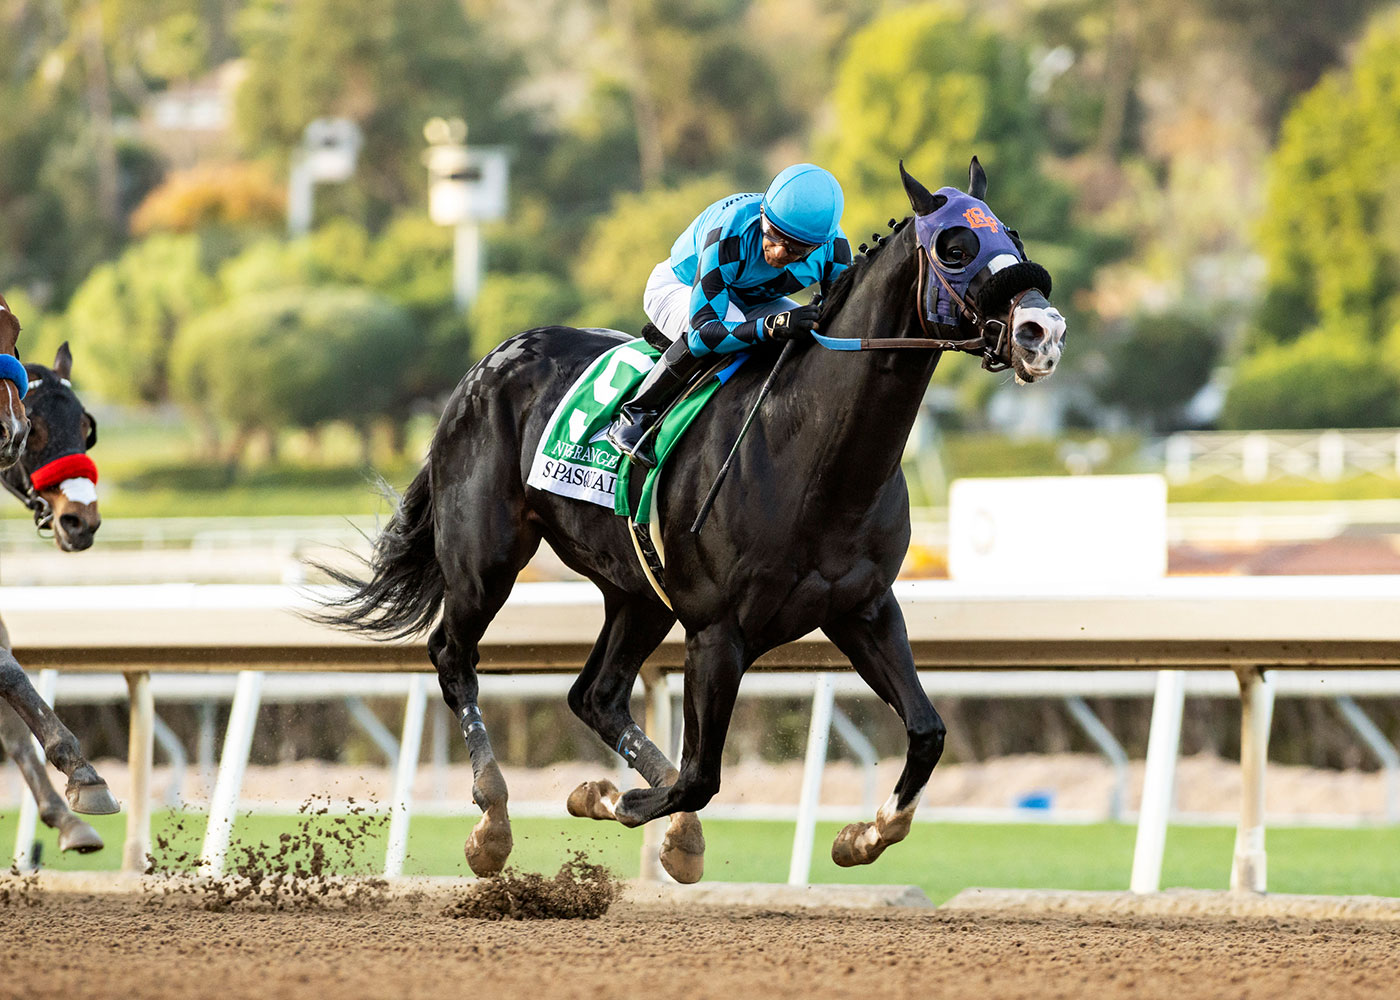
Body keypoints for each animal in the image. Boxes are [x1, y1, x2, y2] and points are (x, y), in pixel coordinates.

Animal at [320, 161, 1058, 879]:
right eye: (954, 248)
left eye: (1013, 237)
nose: (1043, 332)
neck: (812, 452)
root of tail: (486, 364)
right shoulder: (716, 630)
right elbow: (699, 777)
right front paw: (613, 798)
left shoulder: (864, 609)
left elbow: (927, 732)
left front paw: (863, 835)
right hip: (485, 559)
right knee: (455, 656)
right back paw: (493, 821)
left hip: (638, 592)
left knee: (596, 695)